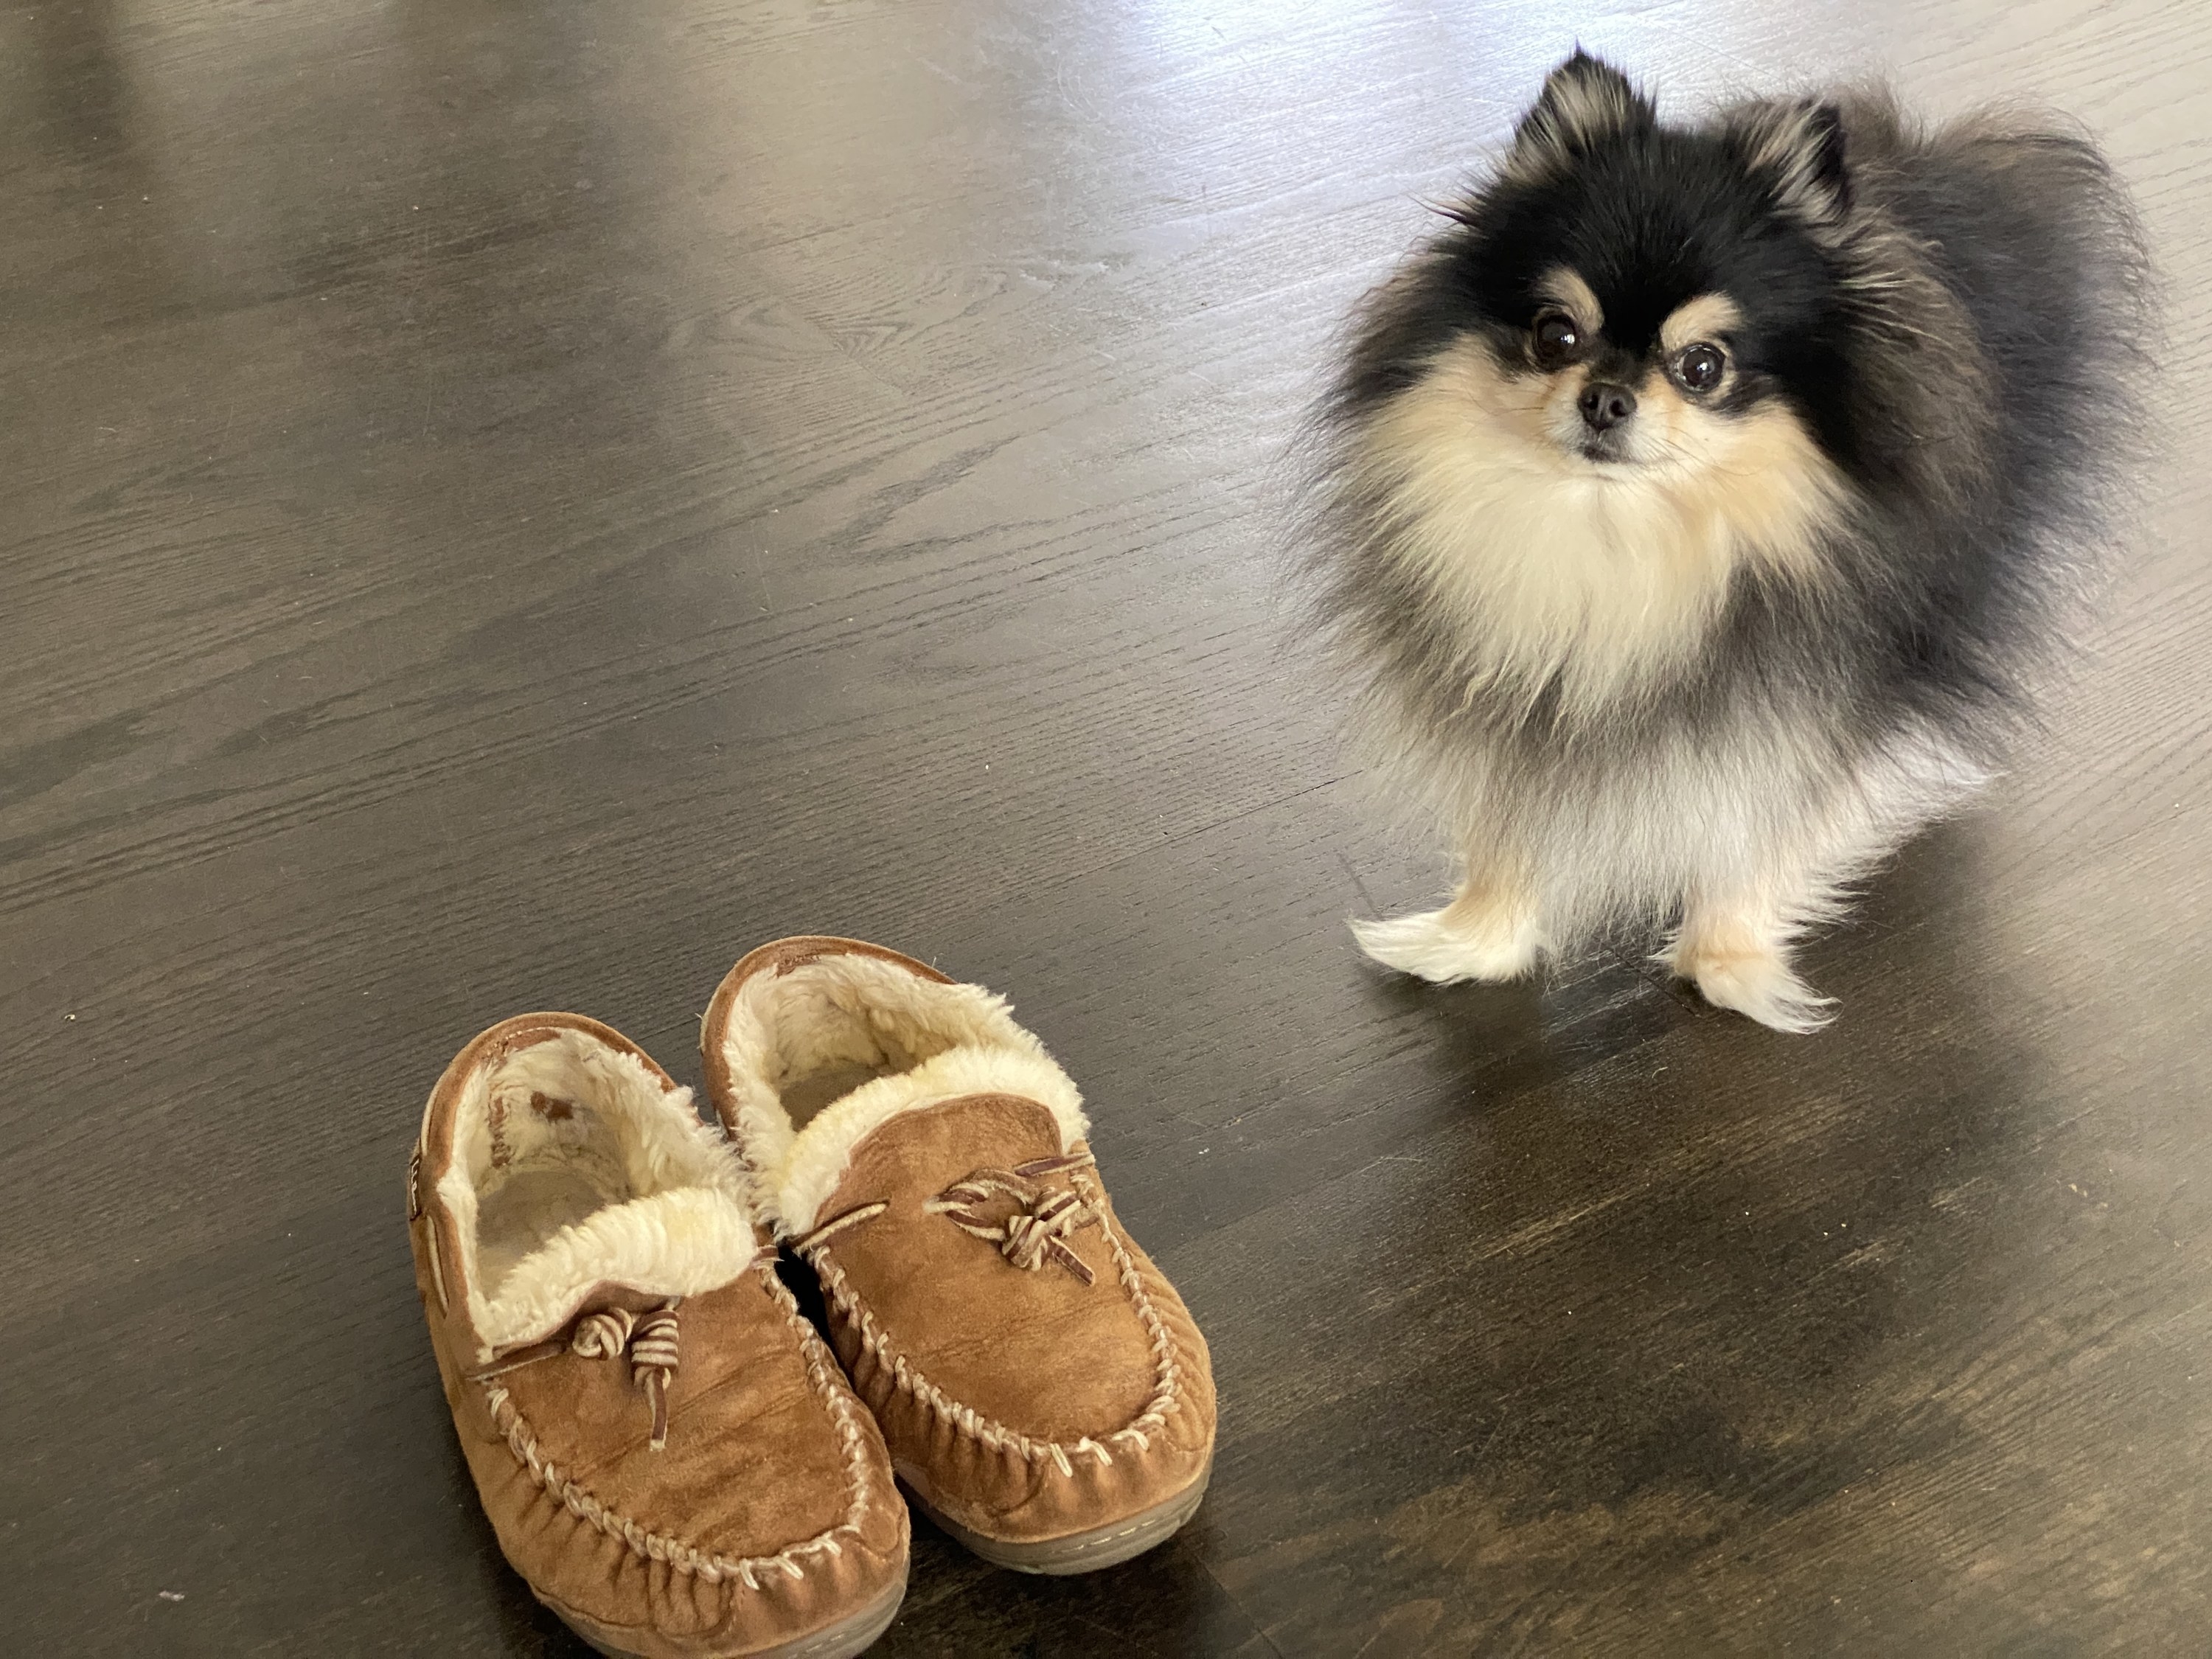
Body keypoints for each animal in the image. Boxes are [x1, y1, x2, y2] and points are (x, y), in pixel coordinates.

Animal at [1301, 52, 2150, 1035]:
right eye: (1556, 334)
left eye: (1702, 366)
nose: (1605, 398)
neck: (1615, 542)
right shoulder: (1515, 680)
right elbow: (1510, 815)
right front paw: (1473, 936)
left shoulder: (1822, 691)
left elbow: (1768, 818)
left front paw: (1728, 962)